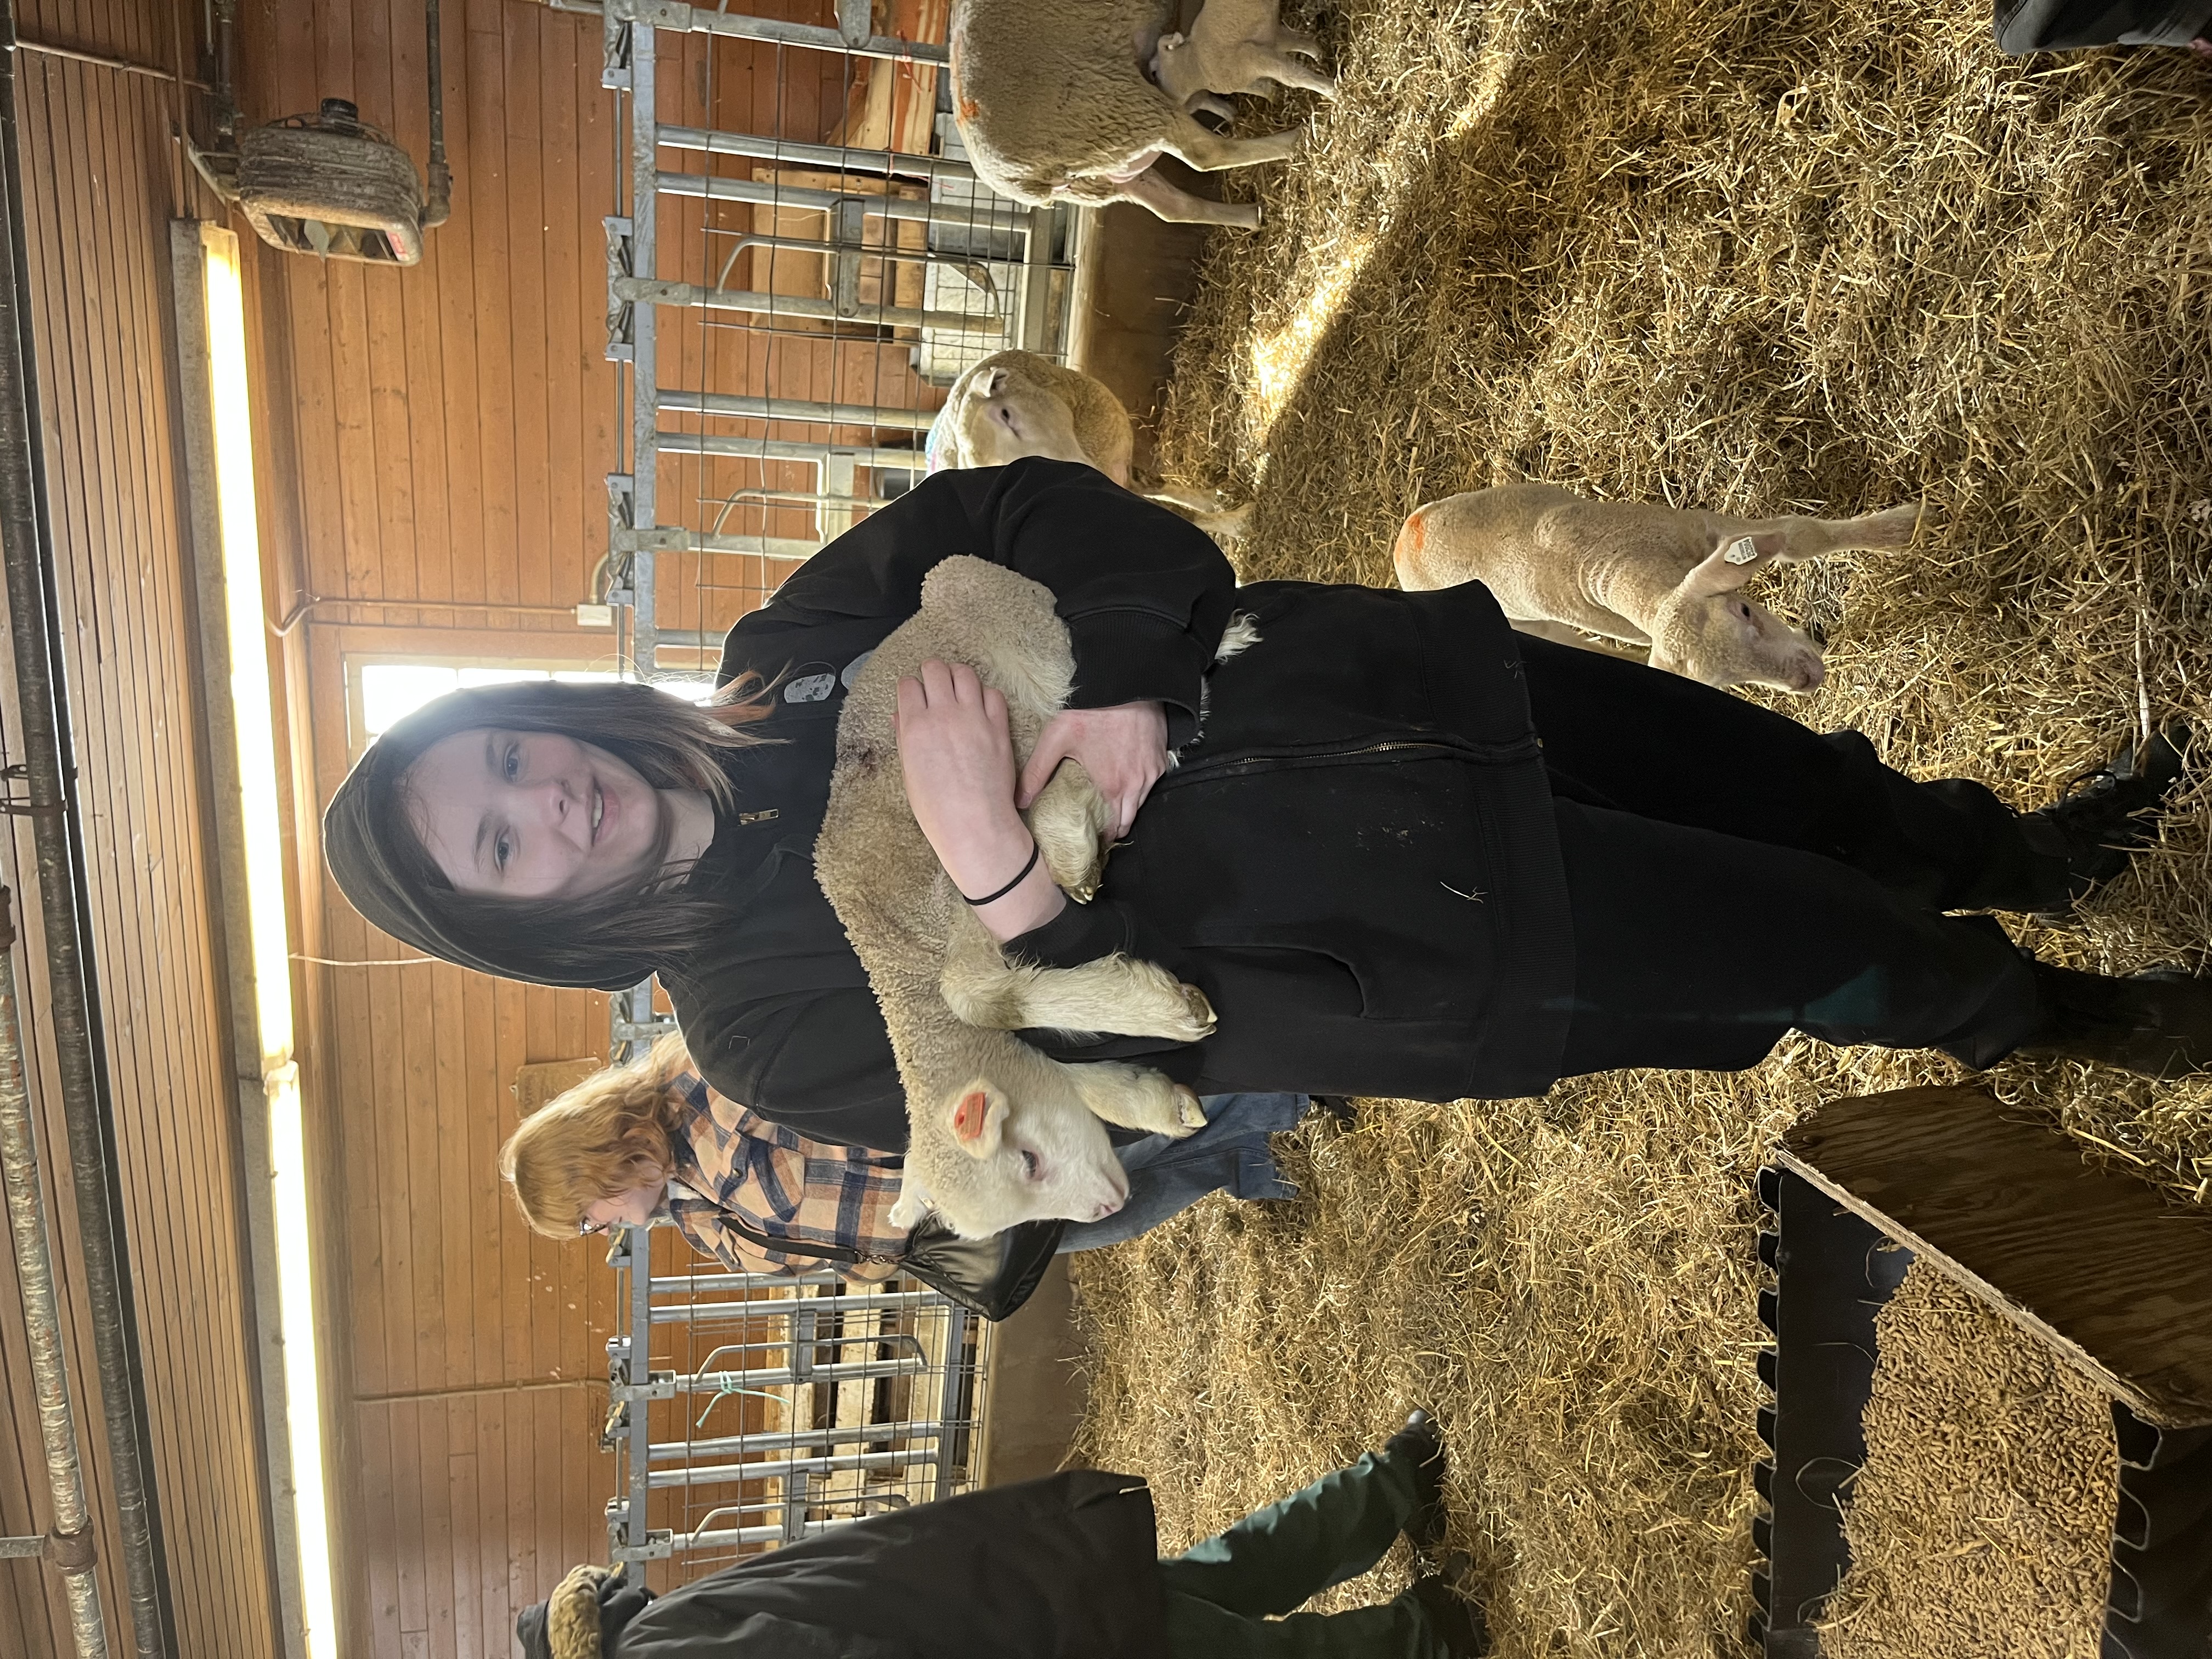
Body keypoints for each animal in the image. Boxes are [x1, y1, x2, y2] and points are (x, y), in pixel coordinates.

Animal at [813, 554, 1223, 1240]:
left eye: (1028, 1160)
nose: (1110, 1208)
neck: (901, 964)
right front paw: (1153, 1099)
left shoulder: (963, 895)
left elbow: (974, 994)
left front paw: (1160, 1010)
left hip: (1009, 612)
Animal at [948, 0, 1311, 228]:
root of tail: (1018, 182)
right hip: (1119, 106)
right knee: (1207, 152)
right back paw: (1295, 141)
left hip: (1107, 170)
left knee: (1175, 209)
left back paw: (1252, 216)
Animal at [1152, 0, 1337, 108]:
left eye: (1154, 74)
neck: (1197, 65)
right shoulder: (1270, 39)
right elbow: (1299, 43)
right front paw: (1319, 55)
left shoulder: (1252, 57)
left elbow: (1292, 77)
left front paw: (1334, 92)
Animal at [1392, 484, 1923, 694]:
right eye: (1726, 683)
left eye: (1745, 611)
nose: (1809, 678)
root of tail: (1399, 550)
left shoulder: (1698, 528)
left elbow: (1799, 536)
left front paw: (1906, 528)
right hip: (1536, 628)